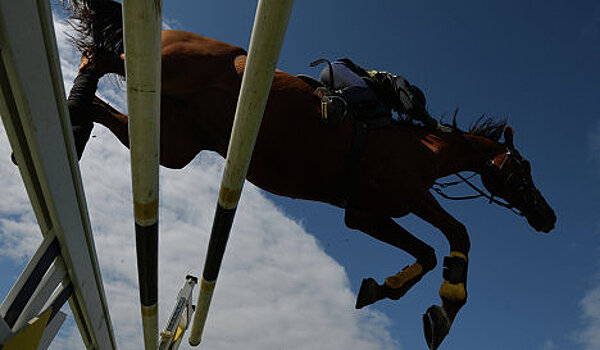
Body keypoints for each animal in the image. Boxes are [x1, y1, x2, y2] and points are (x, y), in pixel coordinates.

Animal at [62, 1, 556, 348]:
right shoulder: (412, 193)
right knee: (99, 54)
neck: (428, 150)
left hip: (175, 146)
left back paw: (79, 118)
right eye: (524, 168)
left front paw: (383, 288)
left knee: (109, 104)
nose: (548, 218)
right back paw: (75, 105)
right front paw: (446, 309)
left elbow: (428, 253)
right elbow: (459, 234)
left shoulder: (365, 215)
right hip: (158, 73)